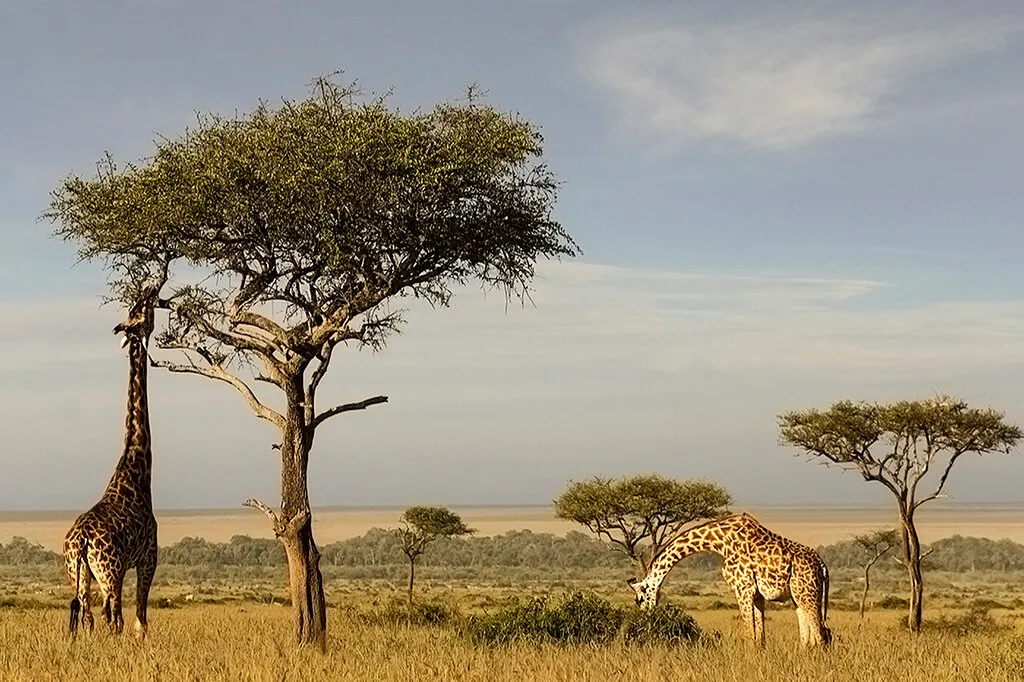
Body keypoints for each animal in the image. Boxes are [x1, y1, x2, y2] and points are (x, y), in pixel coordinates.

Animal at [63, 285, 161, 638]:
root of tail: (80, 541)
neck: (137, 470)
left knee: (88, 618)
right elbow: (141, 620)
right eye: (141, 311)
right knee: (113, 619)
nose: (151, 288)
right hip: (110, 572)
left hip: (78, 574)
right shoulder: (148, 557)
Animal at [627, 512, 831, 648]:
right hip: (799, 596)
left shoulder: (743, 588)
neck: (719, 541)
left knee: (821, 635)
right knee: (811, 636)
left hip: (807, 594)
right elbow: (760, 637)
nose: (646, 619)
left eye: (640, 599)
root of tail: (822, 565)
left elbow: (749, 634)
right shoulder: (756, 594)